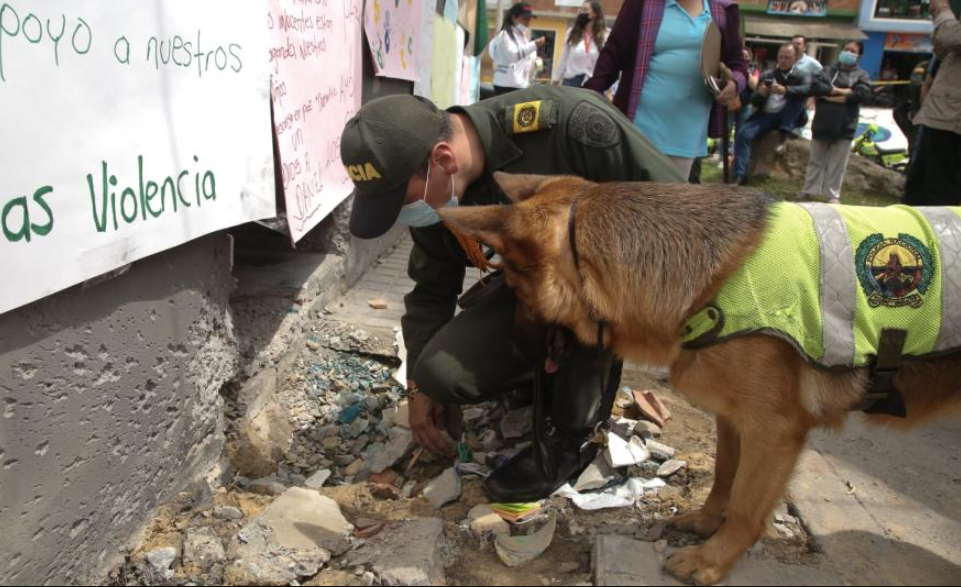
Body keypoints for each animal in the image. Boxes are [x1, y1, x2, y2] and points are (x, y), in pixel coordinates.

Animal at [440, 175, 960, 587]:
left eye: (513, 282)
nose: (511, 349)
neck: (707, 283)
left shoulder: (774, 433)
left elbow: (748, 506)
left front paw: (713, 562)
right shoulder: (733, 419)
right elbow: (725, 476)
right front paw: (708, 522)